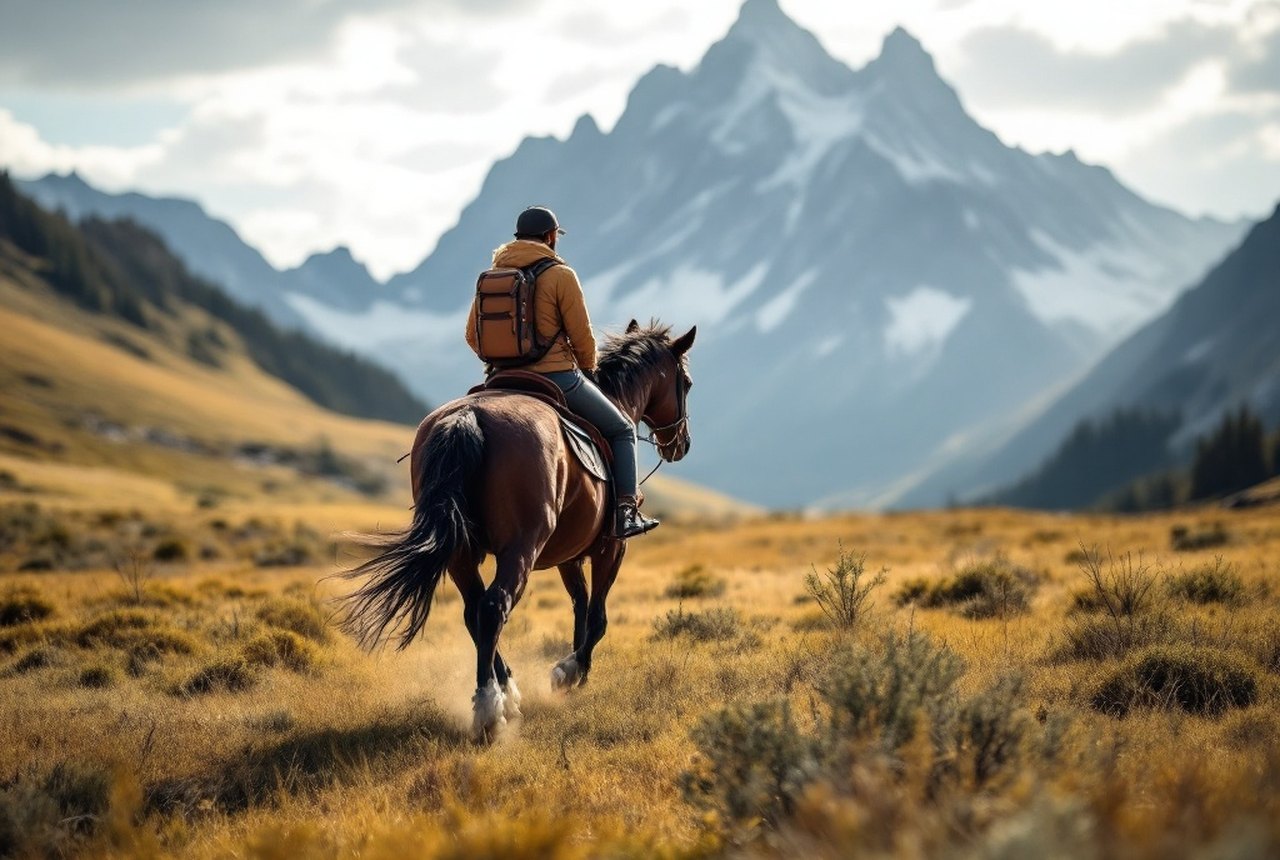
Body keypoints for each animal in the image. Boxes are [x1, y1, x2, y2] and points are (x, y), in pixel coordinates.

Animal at [338, 320, 696, 740]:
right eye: (686, 383)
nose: (682, 444)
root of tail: (469, 417)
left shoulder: (568, 557)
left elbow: (579, 605)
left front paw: (573, 671)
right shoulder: (611, 548)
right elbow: (598, 617)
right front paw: (571, 671)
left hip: (461, 552)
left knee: (474, 611)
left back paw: (506, 689)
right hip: (520, 548)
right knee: (495, 606)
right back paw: (490, 710)